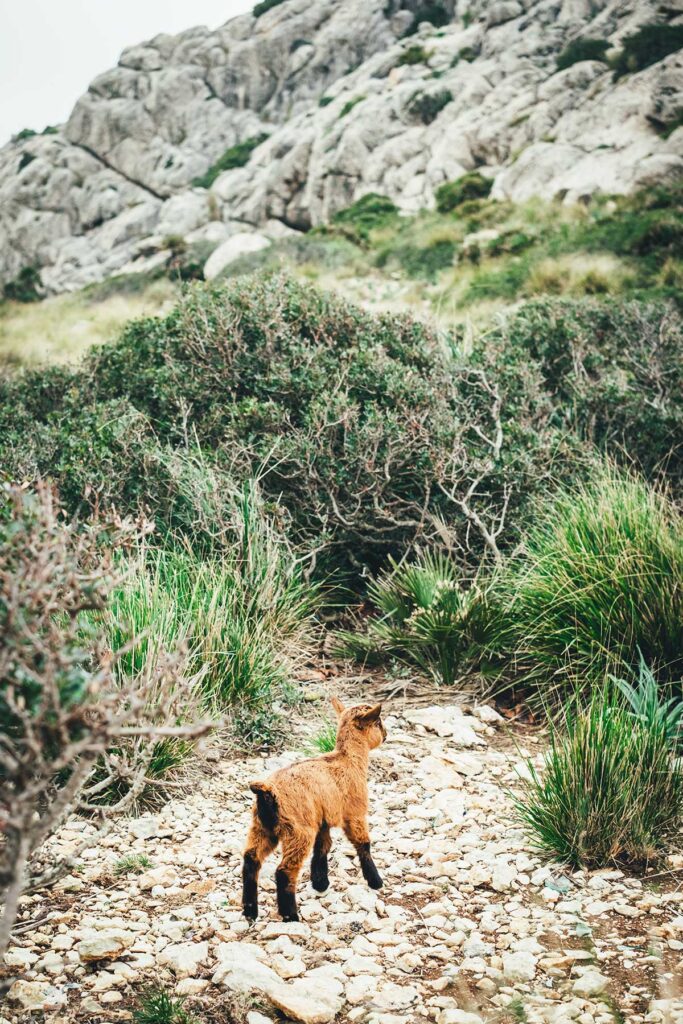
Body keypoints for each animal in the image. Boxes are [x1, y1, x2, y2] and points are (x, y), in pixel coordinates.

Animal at [242, 698, 386, 922]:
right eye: (378, 722)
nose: (386, 735)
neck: (348, 759)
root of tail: (267, 791)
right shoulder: (355, 814)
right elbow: (363, 844)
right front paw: (375, 881)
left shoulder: (322, 820)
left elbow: (323, 847)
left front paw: (320, 883)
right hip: (298, 830)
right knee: (284, 871)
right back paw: (290, 915)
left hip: (261, 827)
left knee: (251, 859)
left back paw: (250, 910)